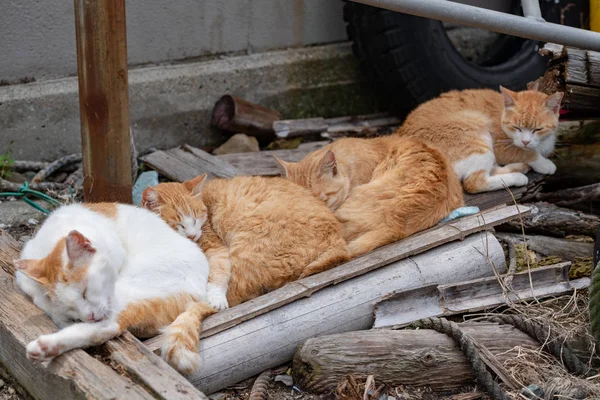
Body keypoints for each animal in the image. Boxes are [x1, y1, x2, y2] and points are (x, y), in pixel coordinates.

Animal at [13, 203, 213, 376]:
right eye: (70, 307)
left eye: (85, 291)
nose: (89, 316)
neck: (52, 240)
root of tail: (200, 296)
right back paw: (46, 349)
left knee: (110, 326)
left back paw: (45, 346)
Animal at [141, 176, 350, 312]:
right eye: (179, 224)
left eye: (197, 218)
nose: (193, 236)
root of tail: (338, 238)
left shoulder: (215, 249)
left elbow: (215, 278)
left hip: (245, 250)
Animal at [394, 83, 564, 193]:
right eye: (516, 128)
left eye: (538, 129)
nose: (525, 141)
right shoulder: (501, 147)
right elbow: (525, 152)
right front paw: (544, 164)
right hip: (477, 136)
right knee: (474, 183)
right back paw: (518, 177)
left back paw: (519, 168)